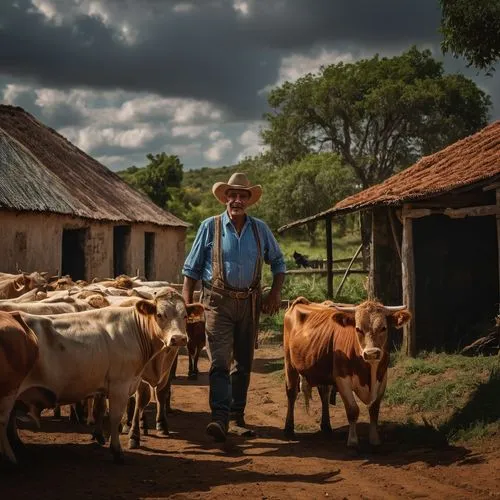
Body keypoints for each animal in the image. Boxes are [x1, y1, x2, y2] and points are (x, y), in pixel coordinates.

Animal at [8, 290, 197, 464]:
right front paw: (117, 448)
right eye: (159, 314)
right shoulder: (119, 385)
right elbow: (115, 416)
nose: (179, 339)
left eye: (185, 316)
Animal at [284, 296, 412, 446]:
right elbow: (352, 410)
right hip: (289, 363)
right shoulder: (342, 378)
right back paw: (289, 429)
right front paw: (352, 440)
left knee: (324, 394)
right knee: (291, 393)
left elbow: (374, 409)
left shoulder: (382, 378)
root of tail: (301, 302)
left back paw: (326, 426)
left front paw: (374, 439)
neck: (368, 371)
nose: (372, 353)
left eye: (383, 328)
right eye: (358, 329)